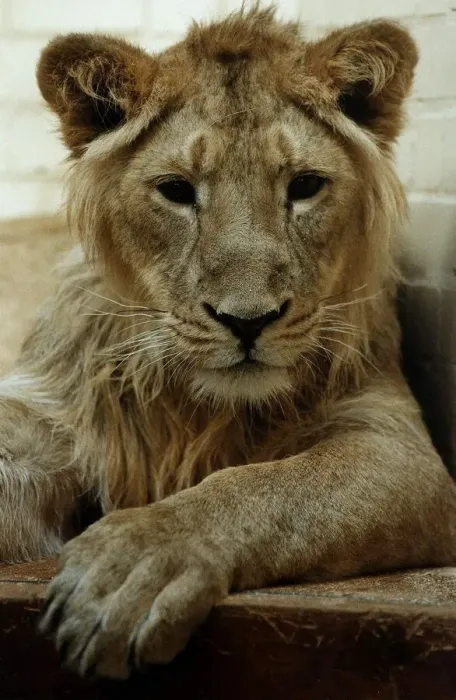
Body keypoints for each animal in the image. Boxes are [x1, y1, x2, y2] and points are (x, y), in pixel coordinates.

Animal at [0, 6, 455, 679]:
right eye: (177, 190)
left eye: (305, 186)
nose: (247, 320)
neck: (200, 412)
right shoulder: (45, 420)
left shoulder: (396, 447)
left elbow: (264, 485)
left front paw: (140, 559)